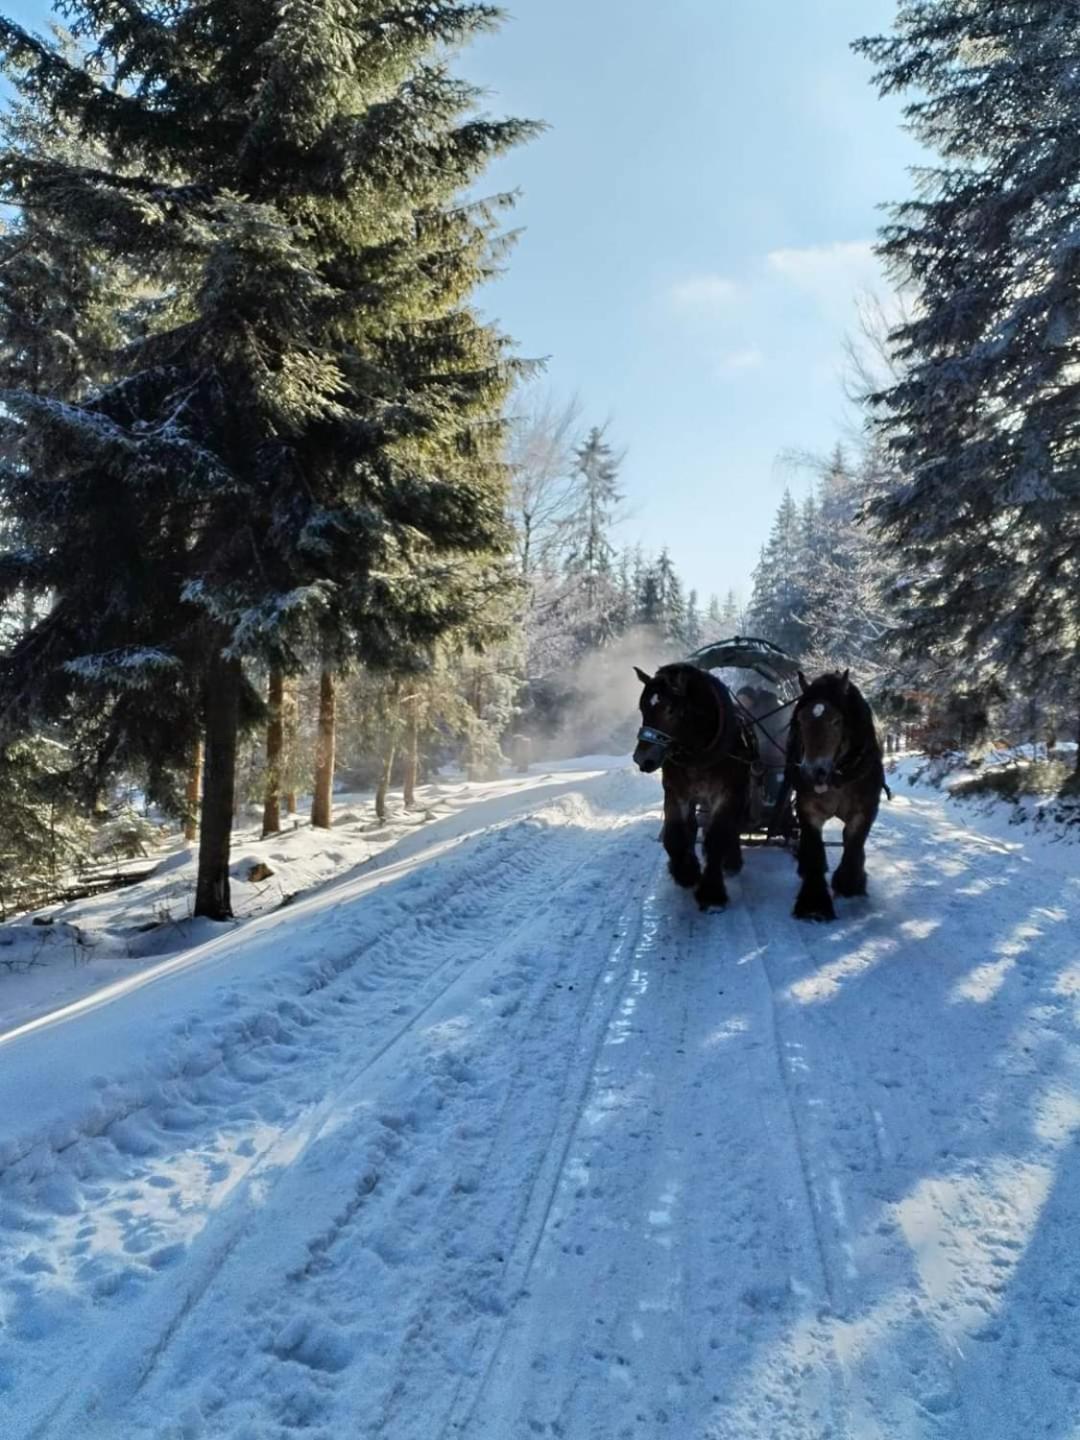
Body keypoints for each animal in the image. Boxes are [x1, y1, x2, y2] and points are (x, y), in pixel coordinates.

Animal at [633, 665, 754, 910]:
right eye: (642, 708)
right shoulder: (676, 792)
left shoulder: (727, 794)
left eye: (670, 710)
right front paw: (686, 872)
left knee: (733, 827)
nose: (641, 759)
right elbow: (675, 834)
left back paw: (732, 861)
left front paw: (712, 892)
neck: (700, 752)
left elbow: (718, 837)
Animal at [789, 665, 887, 915]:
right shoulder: (808, 809)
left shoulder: (864, 811)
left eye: (836, 721)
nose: (813, 772)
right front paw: (814, 902)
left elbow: (854, 844)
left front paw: (850, 883)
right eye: (801, 720)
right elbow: (814, 848)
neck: (837, 777)